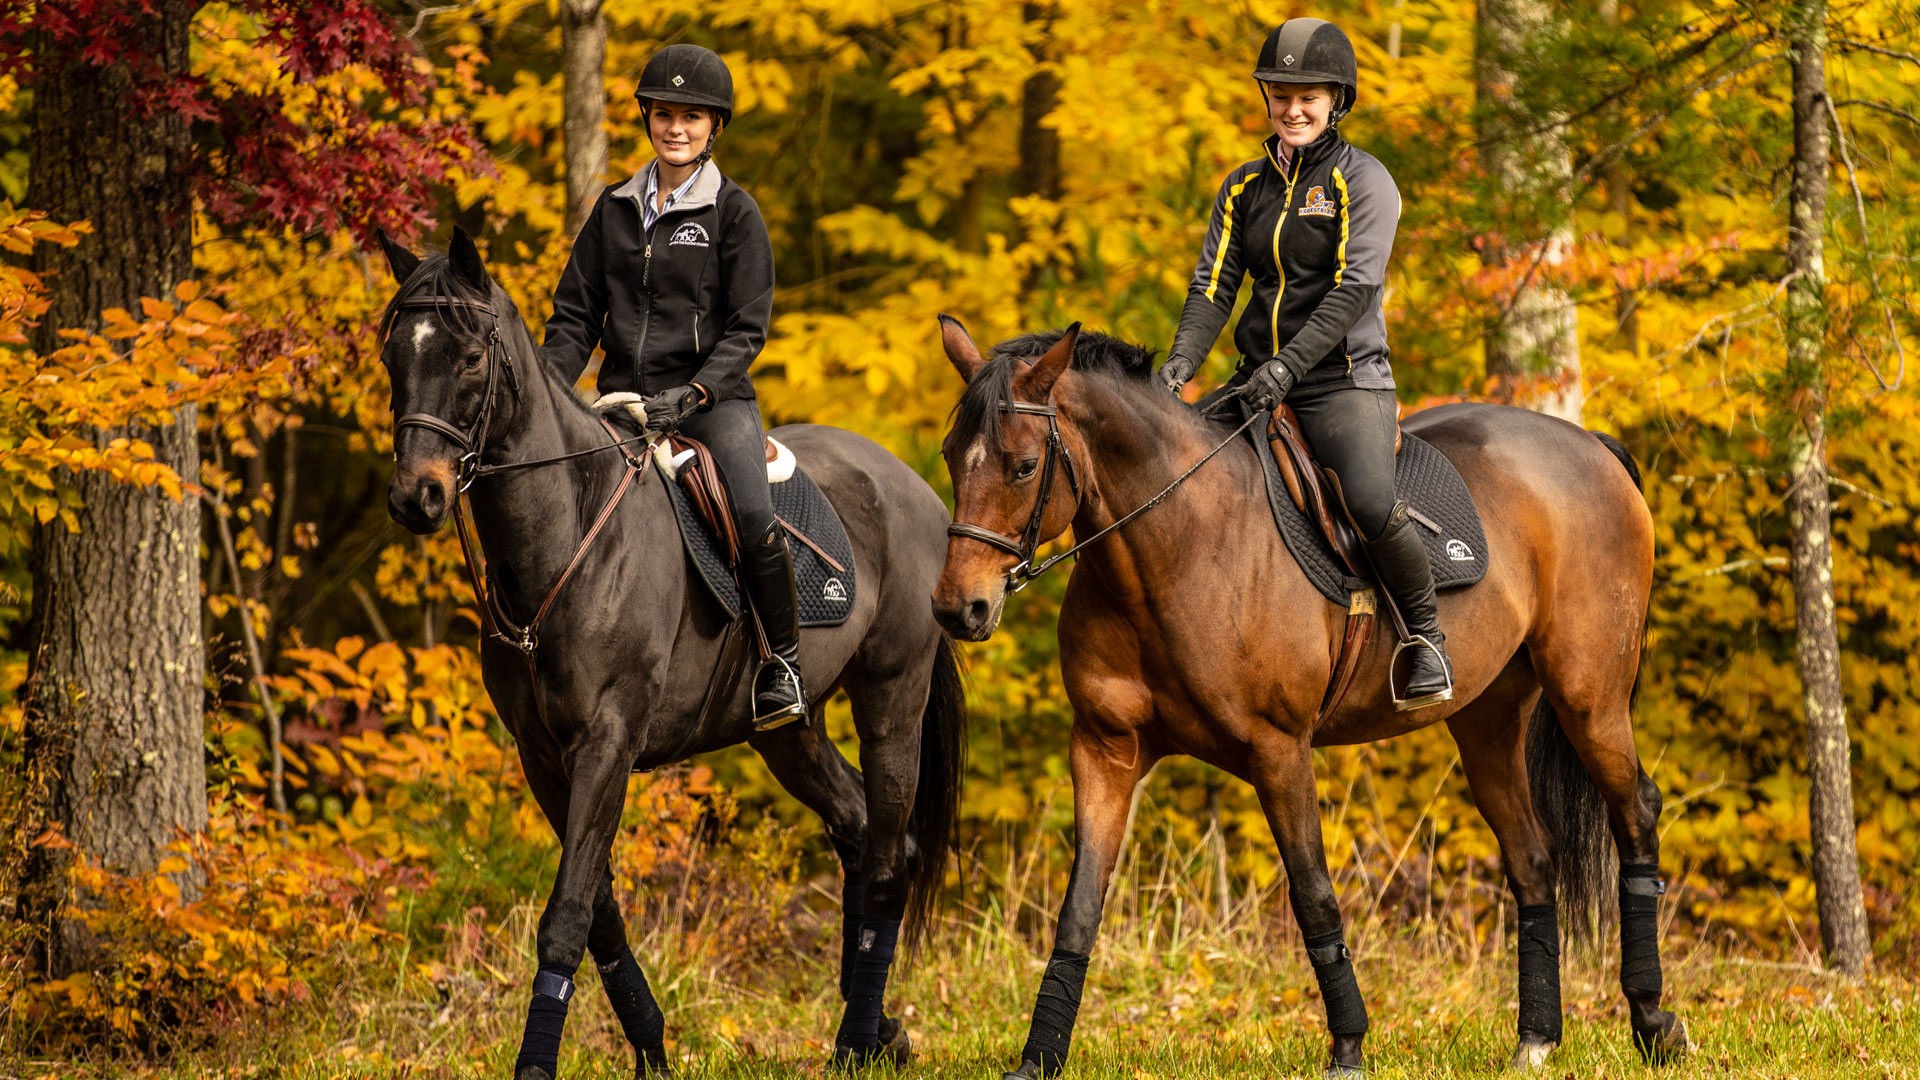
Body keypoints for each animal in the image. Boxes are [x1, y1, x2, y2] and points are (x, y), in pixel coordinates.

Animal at [376, 224, 967, 1068]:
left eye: (468, 358)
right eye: (395, 355)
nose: (415, 496)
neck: (571, 536)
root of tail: (913, 487)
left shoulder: (607, 743)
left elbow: (566, 915)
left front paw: (537, 1062)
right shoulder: (543, 756)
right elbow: (597, 913)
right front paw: (653, 1047)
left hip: (892, 696)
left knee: (890, 855)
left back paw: (860, 1039)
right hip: (785, 733)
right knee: (855, 829)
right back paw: (875, 1027)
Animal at [933, 320, 1697, 1076]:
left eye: (1023, 466)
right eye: (950, 456)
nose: (958, 610)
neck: (1178, 544)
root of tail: (1589, 446)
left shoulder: (1279, 751)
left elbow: (1314, 898)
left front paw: (1349, 1047)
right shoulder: (1104, 749)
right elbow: (1079, 909)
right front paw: (1038, 1058)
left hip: (1589, 697)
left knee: (1635, 814)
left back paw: (1653, 1022)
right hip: (1488, 721)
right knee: (1533, 861)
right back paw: (1536, 1039)